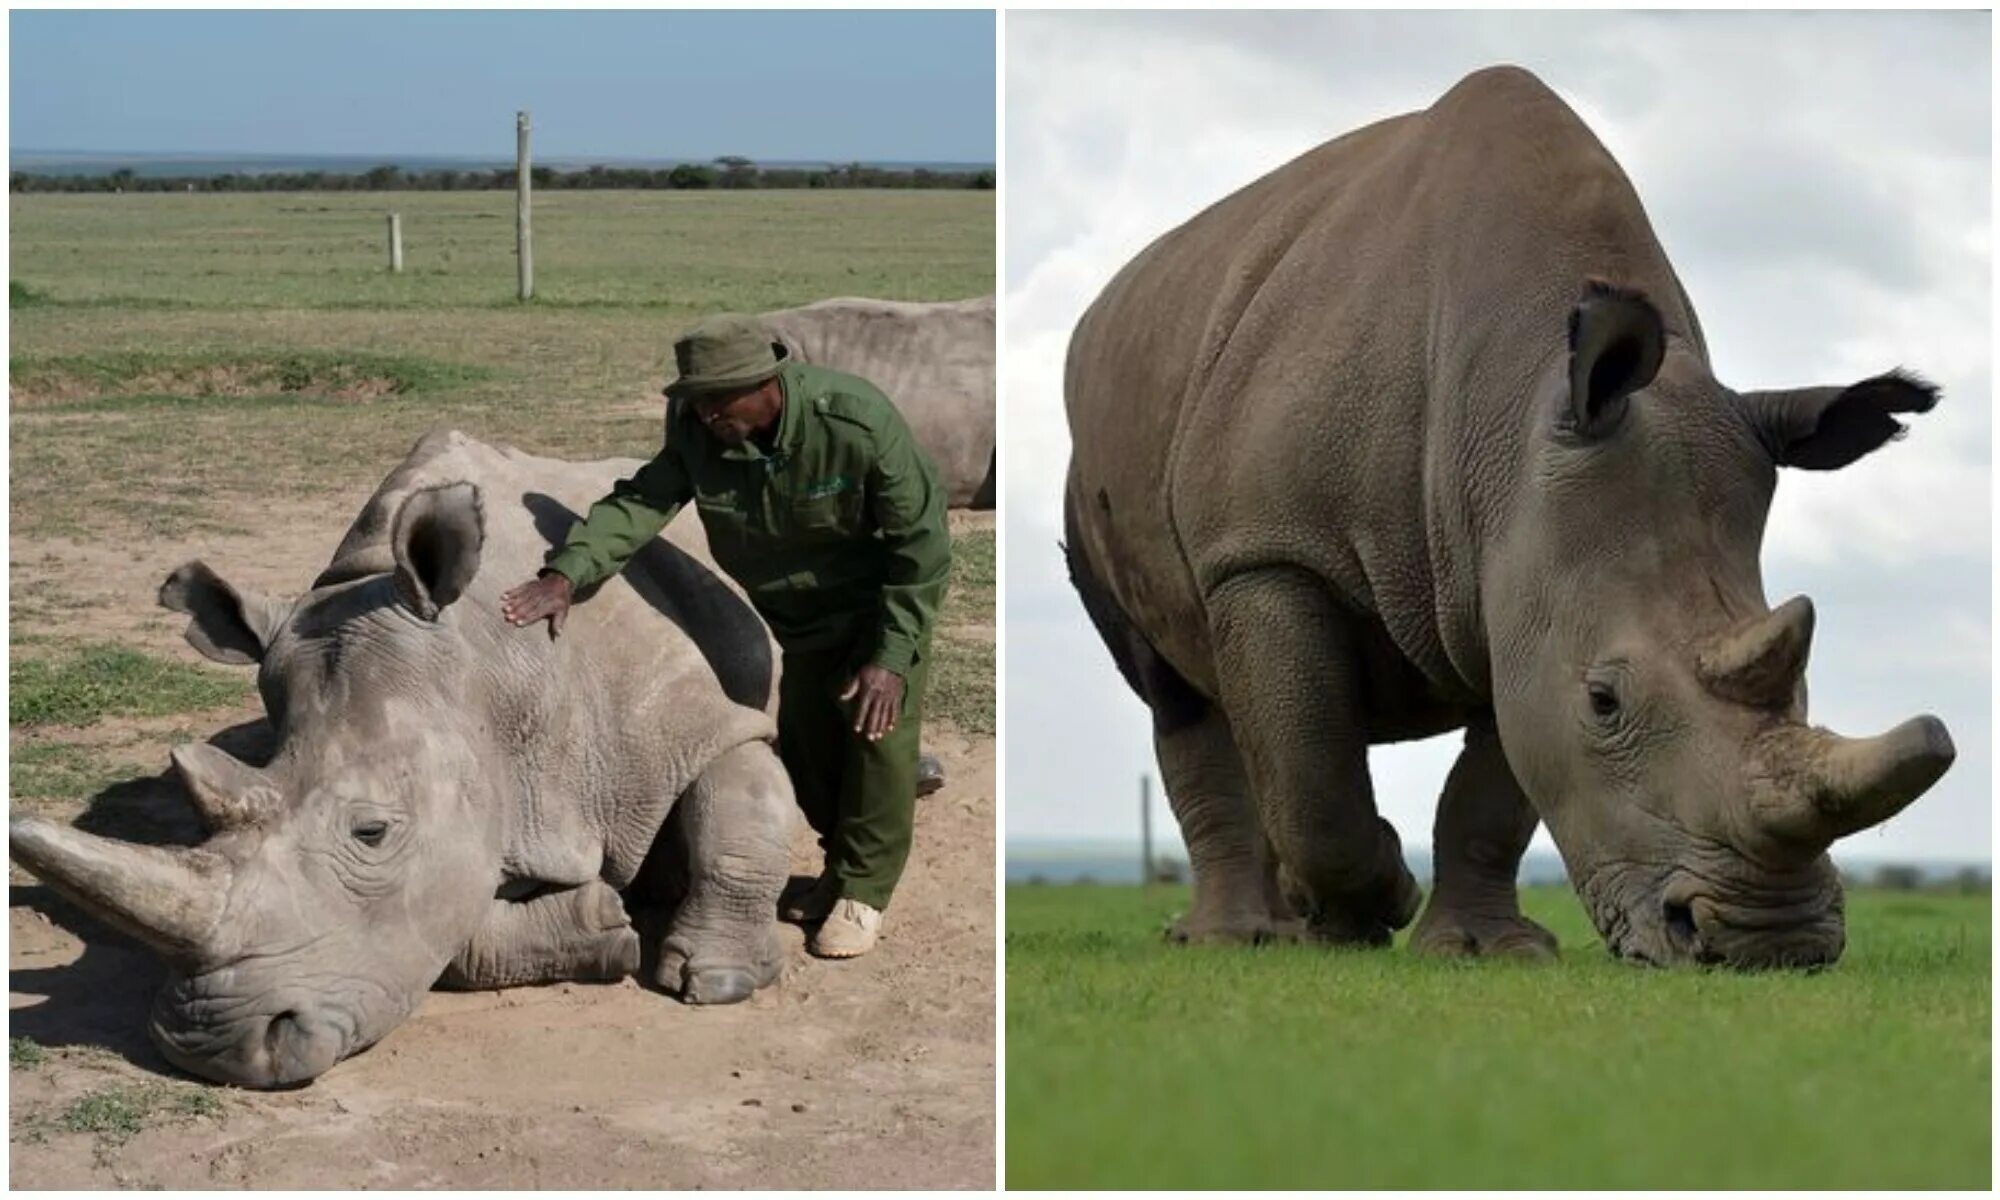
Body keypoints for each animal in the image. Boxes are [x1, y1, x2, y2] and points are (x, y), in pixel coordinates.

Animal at [9, 432, 788, 1088]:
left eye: (372, 832)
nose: (211, 1048)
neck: (491, 664)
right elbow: (448, 933)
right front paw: (604, 923)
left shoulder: (701, 720)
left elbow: (741, 815)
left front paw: (717, 979)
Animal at [1064, 61, 1952, 972]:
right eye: (1605, 702)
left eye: (1807, 688)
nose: (1769, 944)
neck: (1514, 403)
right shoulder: (1267, 551)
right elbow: (1314, 771)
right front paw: (1375, 903)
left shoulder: (1523, 575)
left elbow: (1491, 793)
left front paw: (1482, 950)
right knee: (1182, 697)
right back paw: (1234, 938)